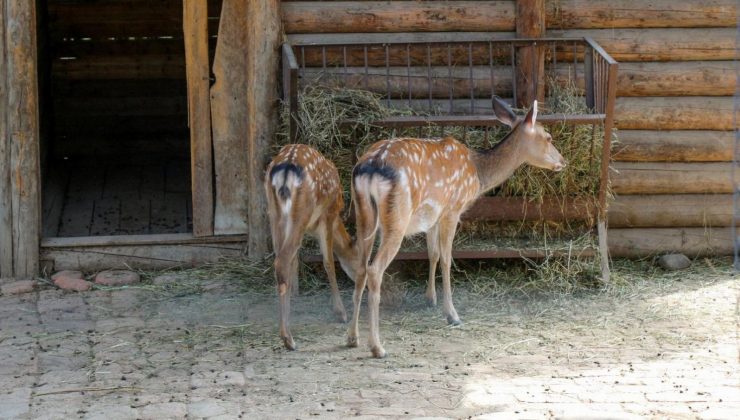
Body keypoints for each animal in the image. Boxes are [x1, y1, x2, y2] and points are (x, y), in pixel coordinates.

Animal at [264, 143, 360, 350]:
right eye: (360, 260)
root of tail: (285, 171)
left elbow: (295, 263)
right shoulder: (328, 217)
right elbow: (329, 262)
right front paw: (340, 312)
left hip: (274, 213)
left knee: (281, 261)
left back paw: (286, 332)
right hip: (301, 213)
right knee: (282, 262)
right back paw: (288, 339)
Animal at [346, 97, 568, 358]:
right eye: (548, 137)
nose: (563, 161)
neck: (478, 174)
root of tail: (369, 168)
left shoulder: (433, 215)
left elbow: (432, 254)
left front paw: (430, 299)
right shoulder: (453, 209)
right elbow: (446, 258)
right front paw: (452, 315)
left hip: (363, 215)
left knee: (360, 266)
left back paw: (352, 337)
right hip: (397, 218)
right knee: (374, 269)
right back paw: (377, 346)